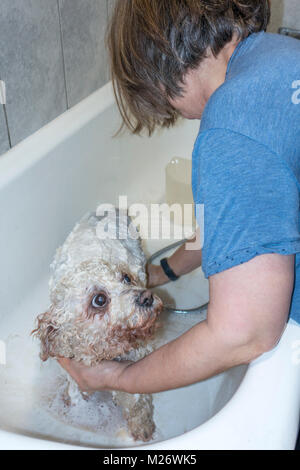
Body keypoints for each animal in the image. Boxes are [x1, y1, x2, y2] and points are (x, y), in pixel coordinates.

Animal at [32, 207, 163, 442]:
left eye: (126, 278)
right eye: (99, 299)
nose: (147, 297)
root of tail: (109, 208)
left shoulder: (137, 357)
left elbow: (136, 397)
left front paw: (142, 425)